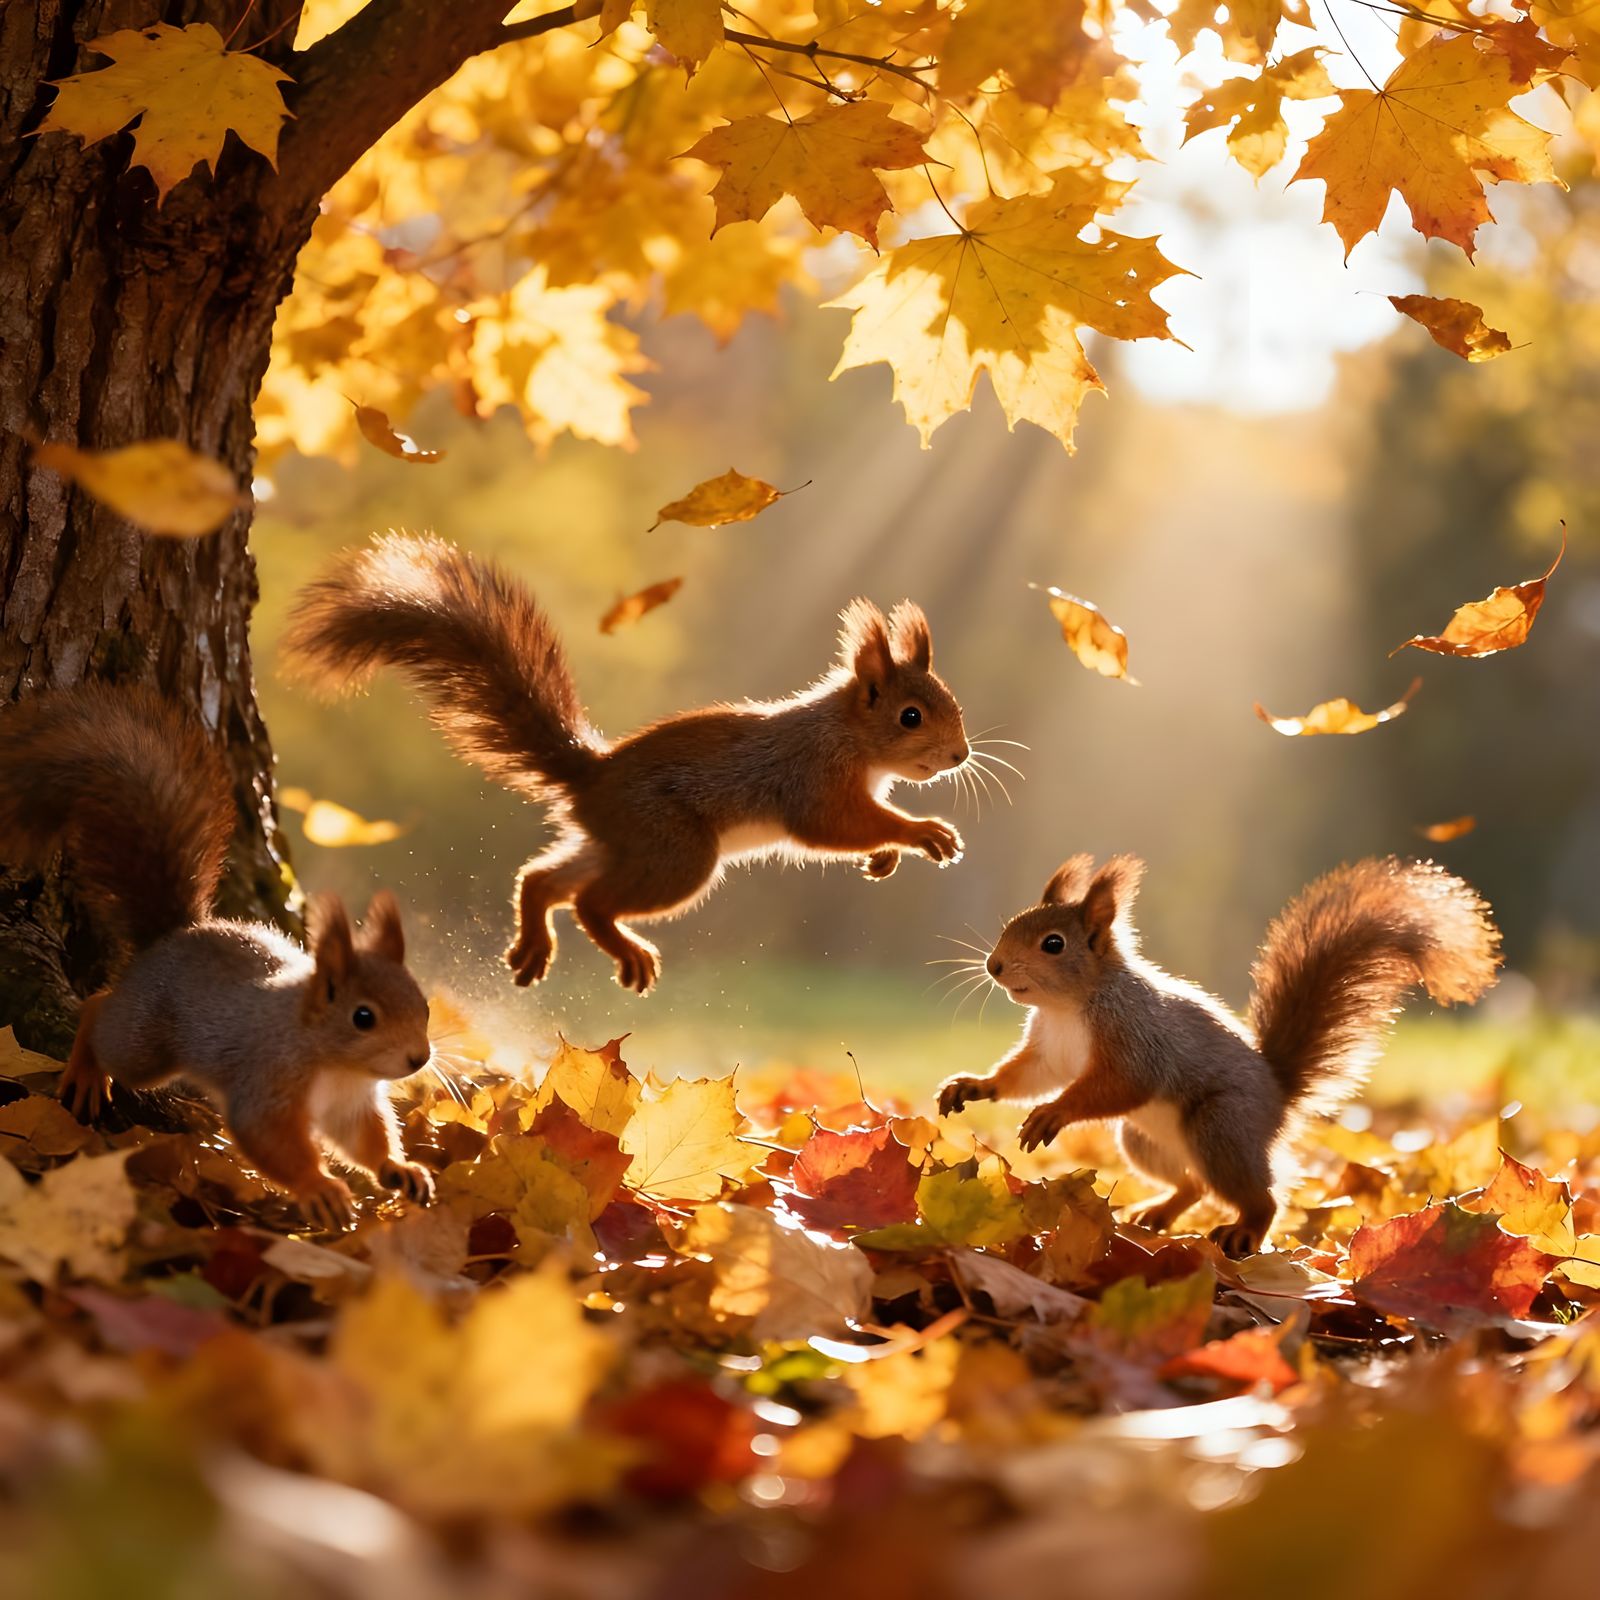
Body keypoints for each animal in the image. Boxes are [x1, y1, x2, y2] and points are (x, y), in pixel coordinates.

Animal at [0, 685, 437, 1231]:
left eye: (424, 1007)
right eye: (363, 1017)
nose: (419, 1058)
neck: (336, 1064)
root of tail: (174, 935)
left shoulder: (352, 1106)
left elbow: (366, 1141)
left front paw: (399, 1169)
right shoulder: (265, 1083)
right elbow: (267, 1140)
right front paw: (318, 1189)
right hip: (145, 1048)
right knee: (101, 1012)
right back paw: (87, 1070)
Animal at [281, 531, 972, 995]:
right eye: (911, 716)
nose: (960, 755)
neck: (848, 736)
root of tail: (592, 775)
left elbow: (864, 828)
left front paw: (884, 856)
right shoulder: (814, 782)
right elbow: (837, 828)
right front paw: (921, 834)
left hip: (622, 842)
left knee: (542, 879)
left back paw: (533, 944)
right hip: (675, 853)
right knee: (591, 902)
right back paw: (624, 948)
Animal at [937, 853, 1501, 1257]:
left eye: (1053, 944)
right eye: (1011, 925)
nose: (994, 966)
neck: (1067, 1009)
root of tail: (1279, 1096)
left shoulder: (1135, 1037)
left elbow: (1120, 1084)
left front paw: (1054, 1112)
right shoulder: (1048, 1052)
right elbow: (1023, 1077)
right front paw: (973, 1086)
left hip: (1221, 1127)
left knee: (1257, 1194)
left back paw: (1244, 1232)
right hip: (1143, 1141)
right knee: (1194, 1186)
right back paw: (1158, 1213)